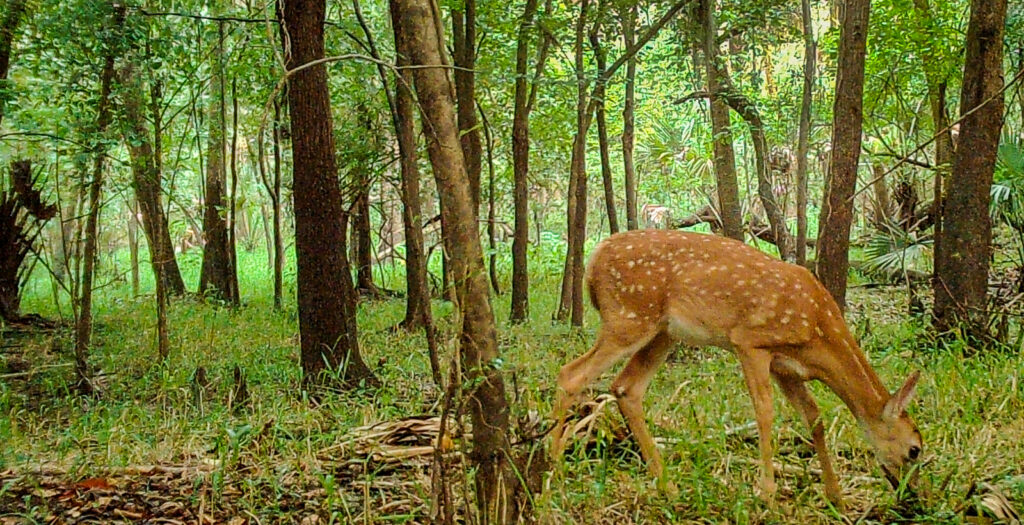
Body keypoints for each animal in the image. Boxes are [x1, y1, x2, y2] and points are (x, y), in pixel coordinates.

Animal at [549, 229, 922, 508]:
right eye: (914, 450)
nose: (911, 496)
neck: (817, 329)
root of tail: (595, 256)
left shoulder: (786, 367)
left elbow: (813, 417)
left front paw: (836, 497)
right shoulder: (750, 342)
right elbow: (765, 412)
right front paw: (767, 494)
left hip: (662, 332)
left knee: (626, 388)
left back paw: (667, 487)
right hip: (629, 316)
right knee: (571, 375)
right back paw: (553, 473)